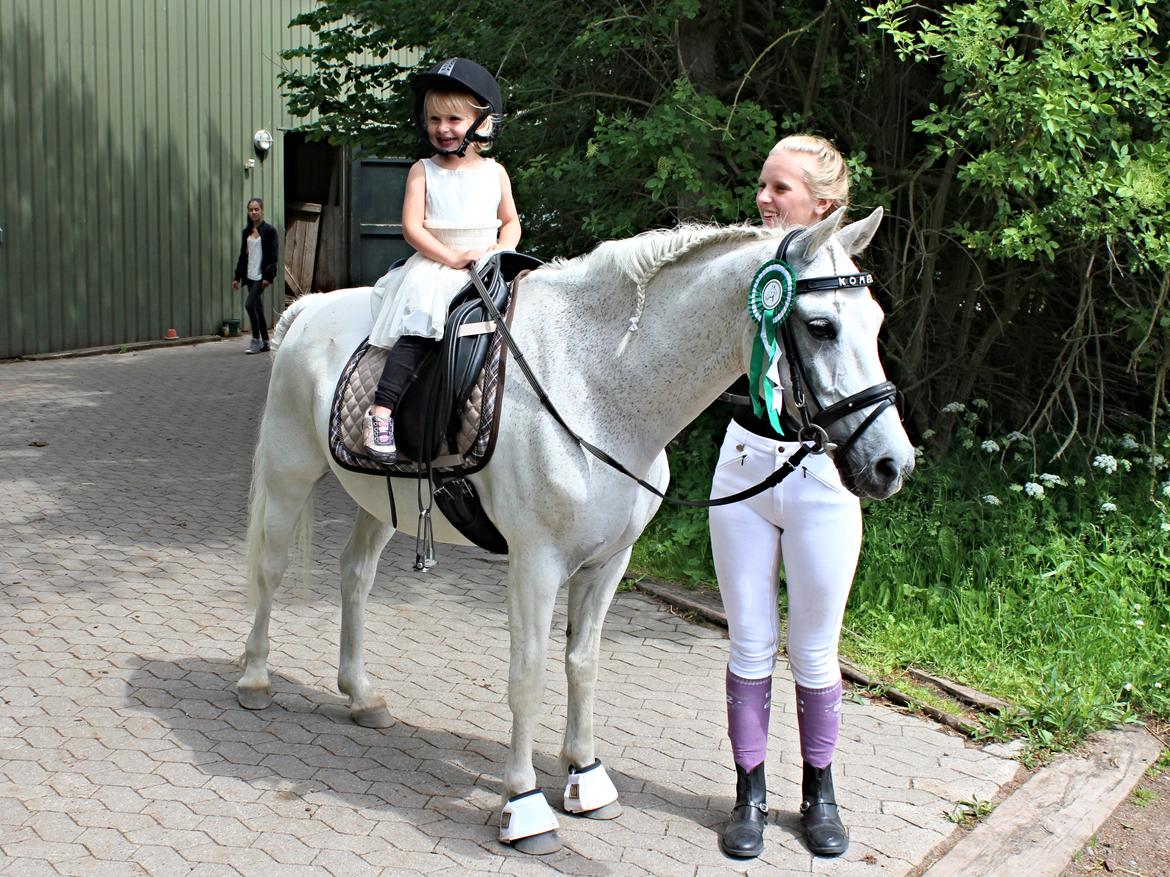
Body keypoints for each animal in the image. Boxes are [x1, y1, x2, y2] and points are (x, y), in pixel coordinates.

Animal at [236, 206, 915, 854]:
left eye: (878, 321)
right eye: (822, 326)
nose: (892, 464)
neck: (596, 389)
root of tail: (310, 309)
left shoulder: (608, 563)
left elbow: (582, 664)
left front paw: (585, 776)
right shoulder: (535, 565)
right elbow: (528, 675)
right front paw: (524, 805)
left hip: (380, 501)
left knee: (355, 576)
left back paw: (361, 697)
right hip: (290, 474)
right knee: (269, 572)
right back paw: (255, 680)